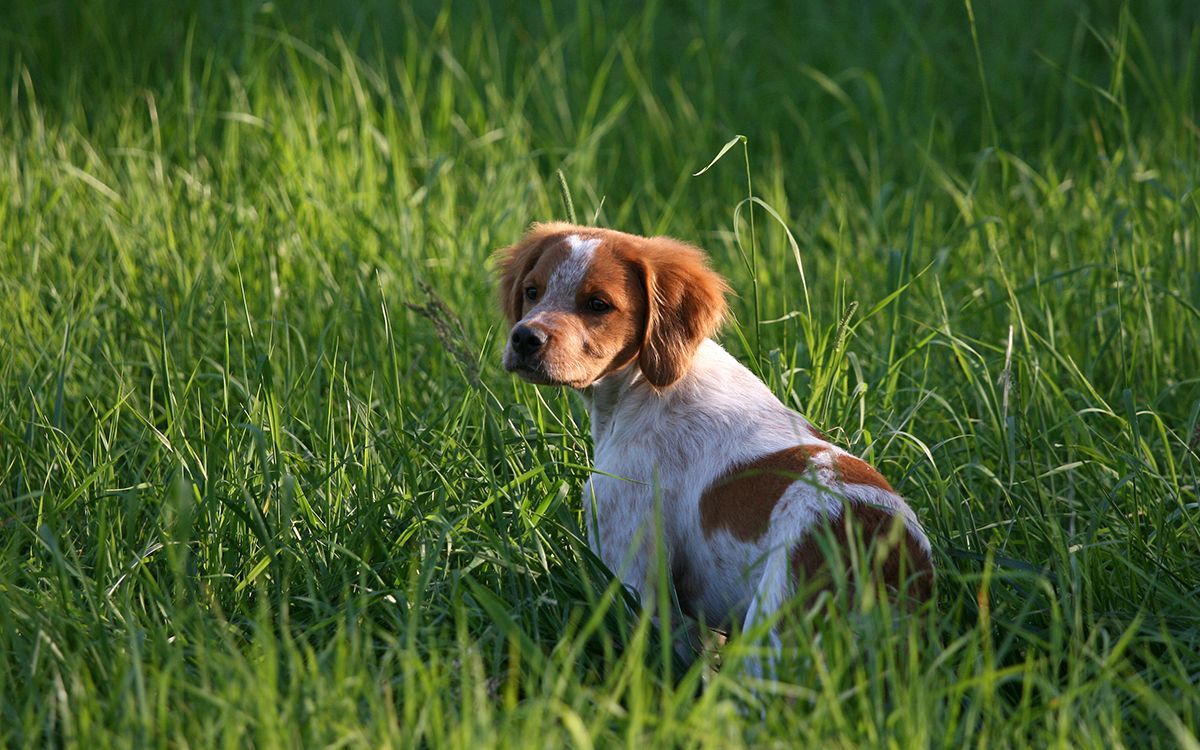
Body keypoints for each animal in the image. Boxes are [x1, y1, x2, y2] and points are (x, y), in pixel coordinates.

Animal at [492, 220, 931, 672]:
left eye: (598, 304)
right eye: (532, 291)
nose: (524, 338)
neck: (644, 387)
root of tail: (884, 546)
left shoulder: (634, 567)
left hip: (771, 629)